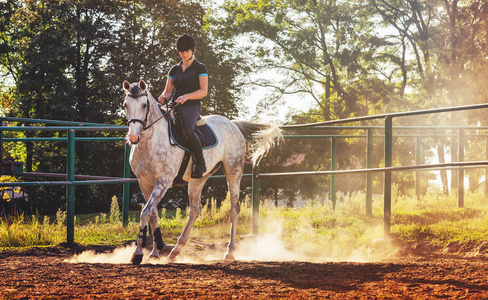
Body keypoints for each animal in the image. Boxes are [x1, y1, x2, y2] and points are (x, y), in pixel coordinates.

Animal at [123, 80, 282, 264]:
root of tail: (233, 124)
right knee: (194, 210)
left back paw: (229, 252)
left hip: (233, 172)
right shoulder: (145, 182)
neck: (152, 140)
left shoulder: (163, 181)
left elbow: (145, 212)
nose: (133, 137)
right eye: (125, 105)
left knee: (233, 209)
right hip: (198, 179)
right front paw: (155, 252)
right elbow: (153, 214)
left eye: (144, 105)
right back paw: (176, 250)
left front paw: (138, 253)